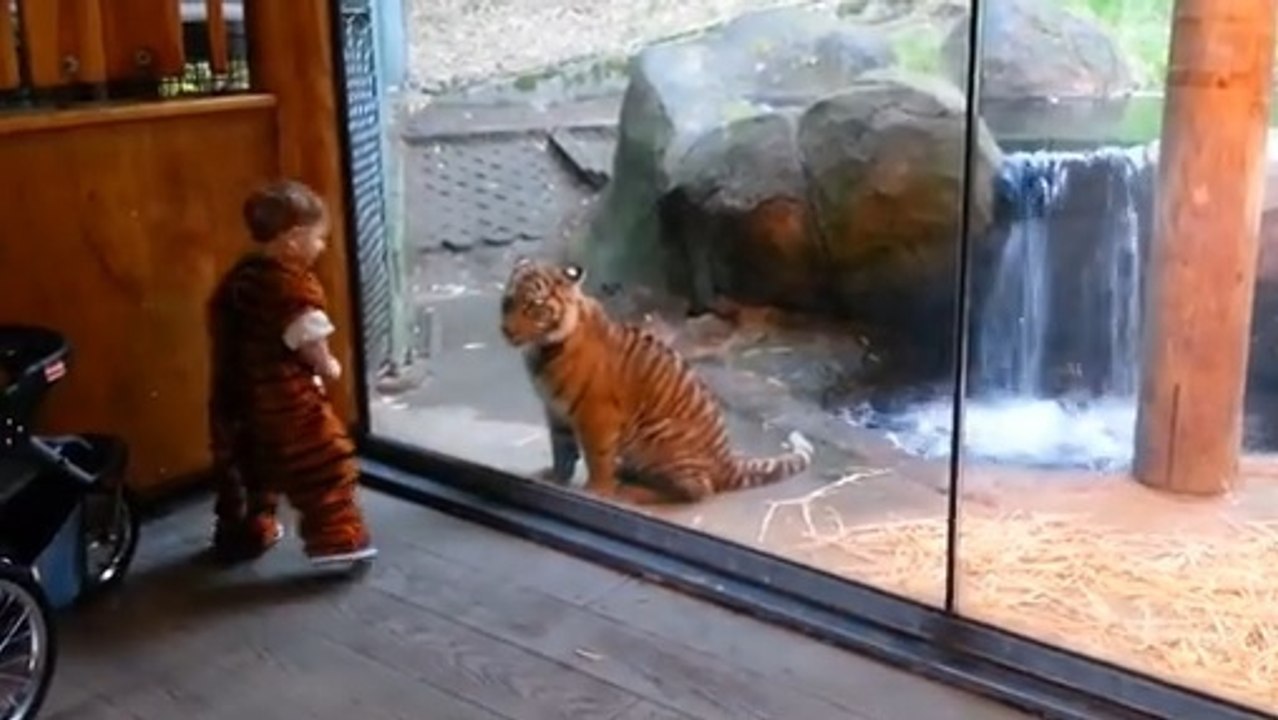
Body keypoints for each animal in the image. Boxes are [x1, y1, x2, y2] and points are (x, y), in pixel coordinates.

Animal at [499, 256, 814, 505]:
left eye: (535, 306)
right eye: (509, 301)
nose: (506, 330)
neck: (542, 348)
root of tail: (726, 461)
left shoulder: (596, 415)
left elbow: (597, 458)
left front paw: (595, 491)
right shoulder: (556, 410)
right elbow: (561, 449)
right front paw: (554, 477)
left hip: (657, 435)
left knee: (697, 491)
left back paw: (630, 491)